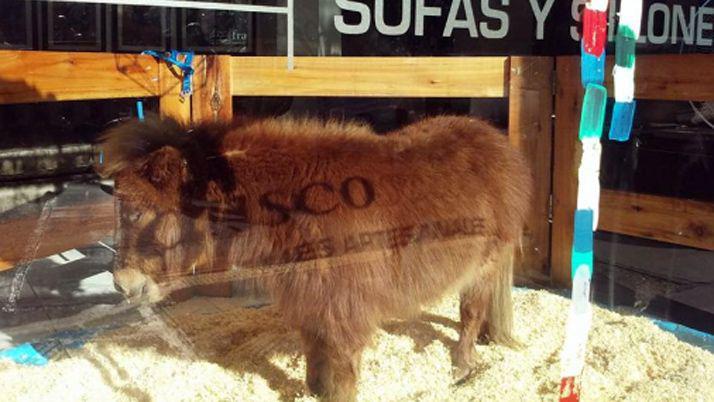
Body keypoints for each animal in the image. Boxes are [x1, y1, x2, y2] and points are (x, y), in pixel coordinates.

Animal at [97, 113, 532, 401]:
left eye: (138, 212)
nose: (122, 284)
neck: (294, 204)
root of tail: (494, 139)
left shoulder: (341, 310)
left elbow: (339, 375)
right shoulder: (311, 302)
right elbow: (317, 363)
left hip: (483, 267)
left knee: (470, 314)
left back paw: (462, 366)